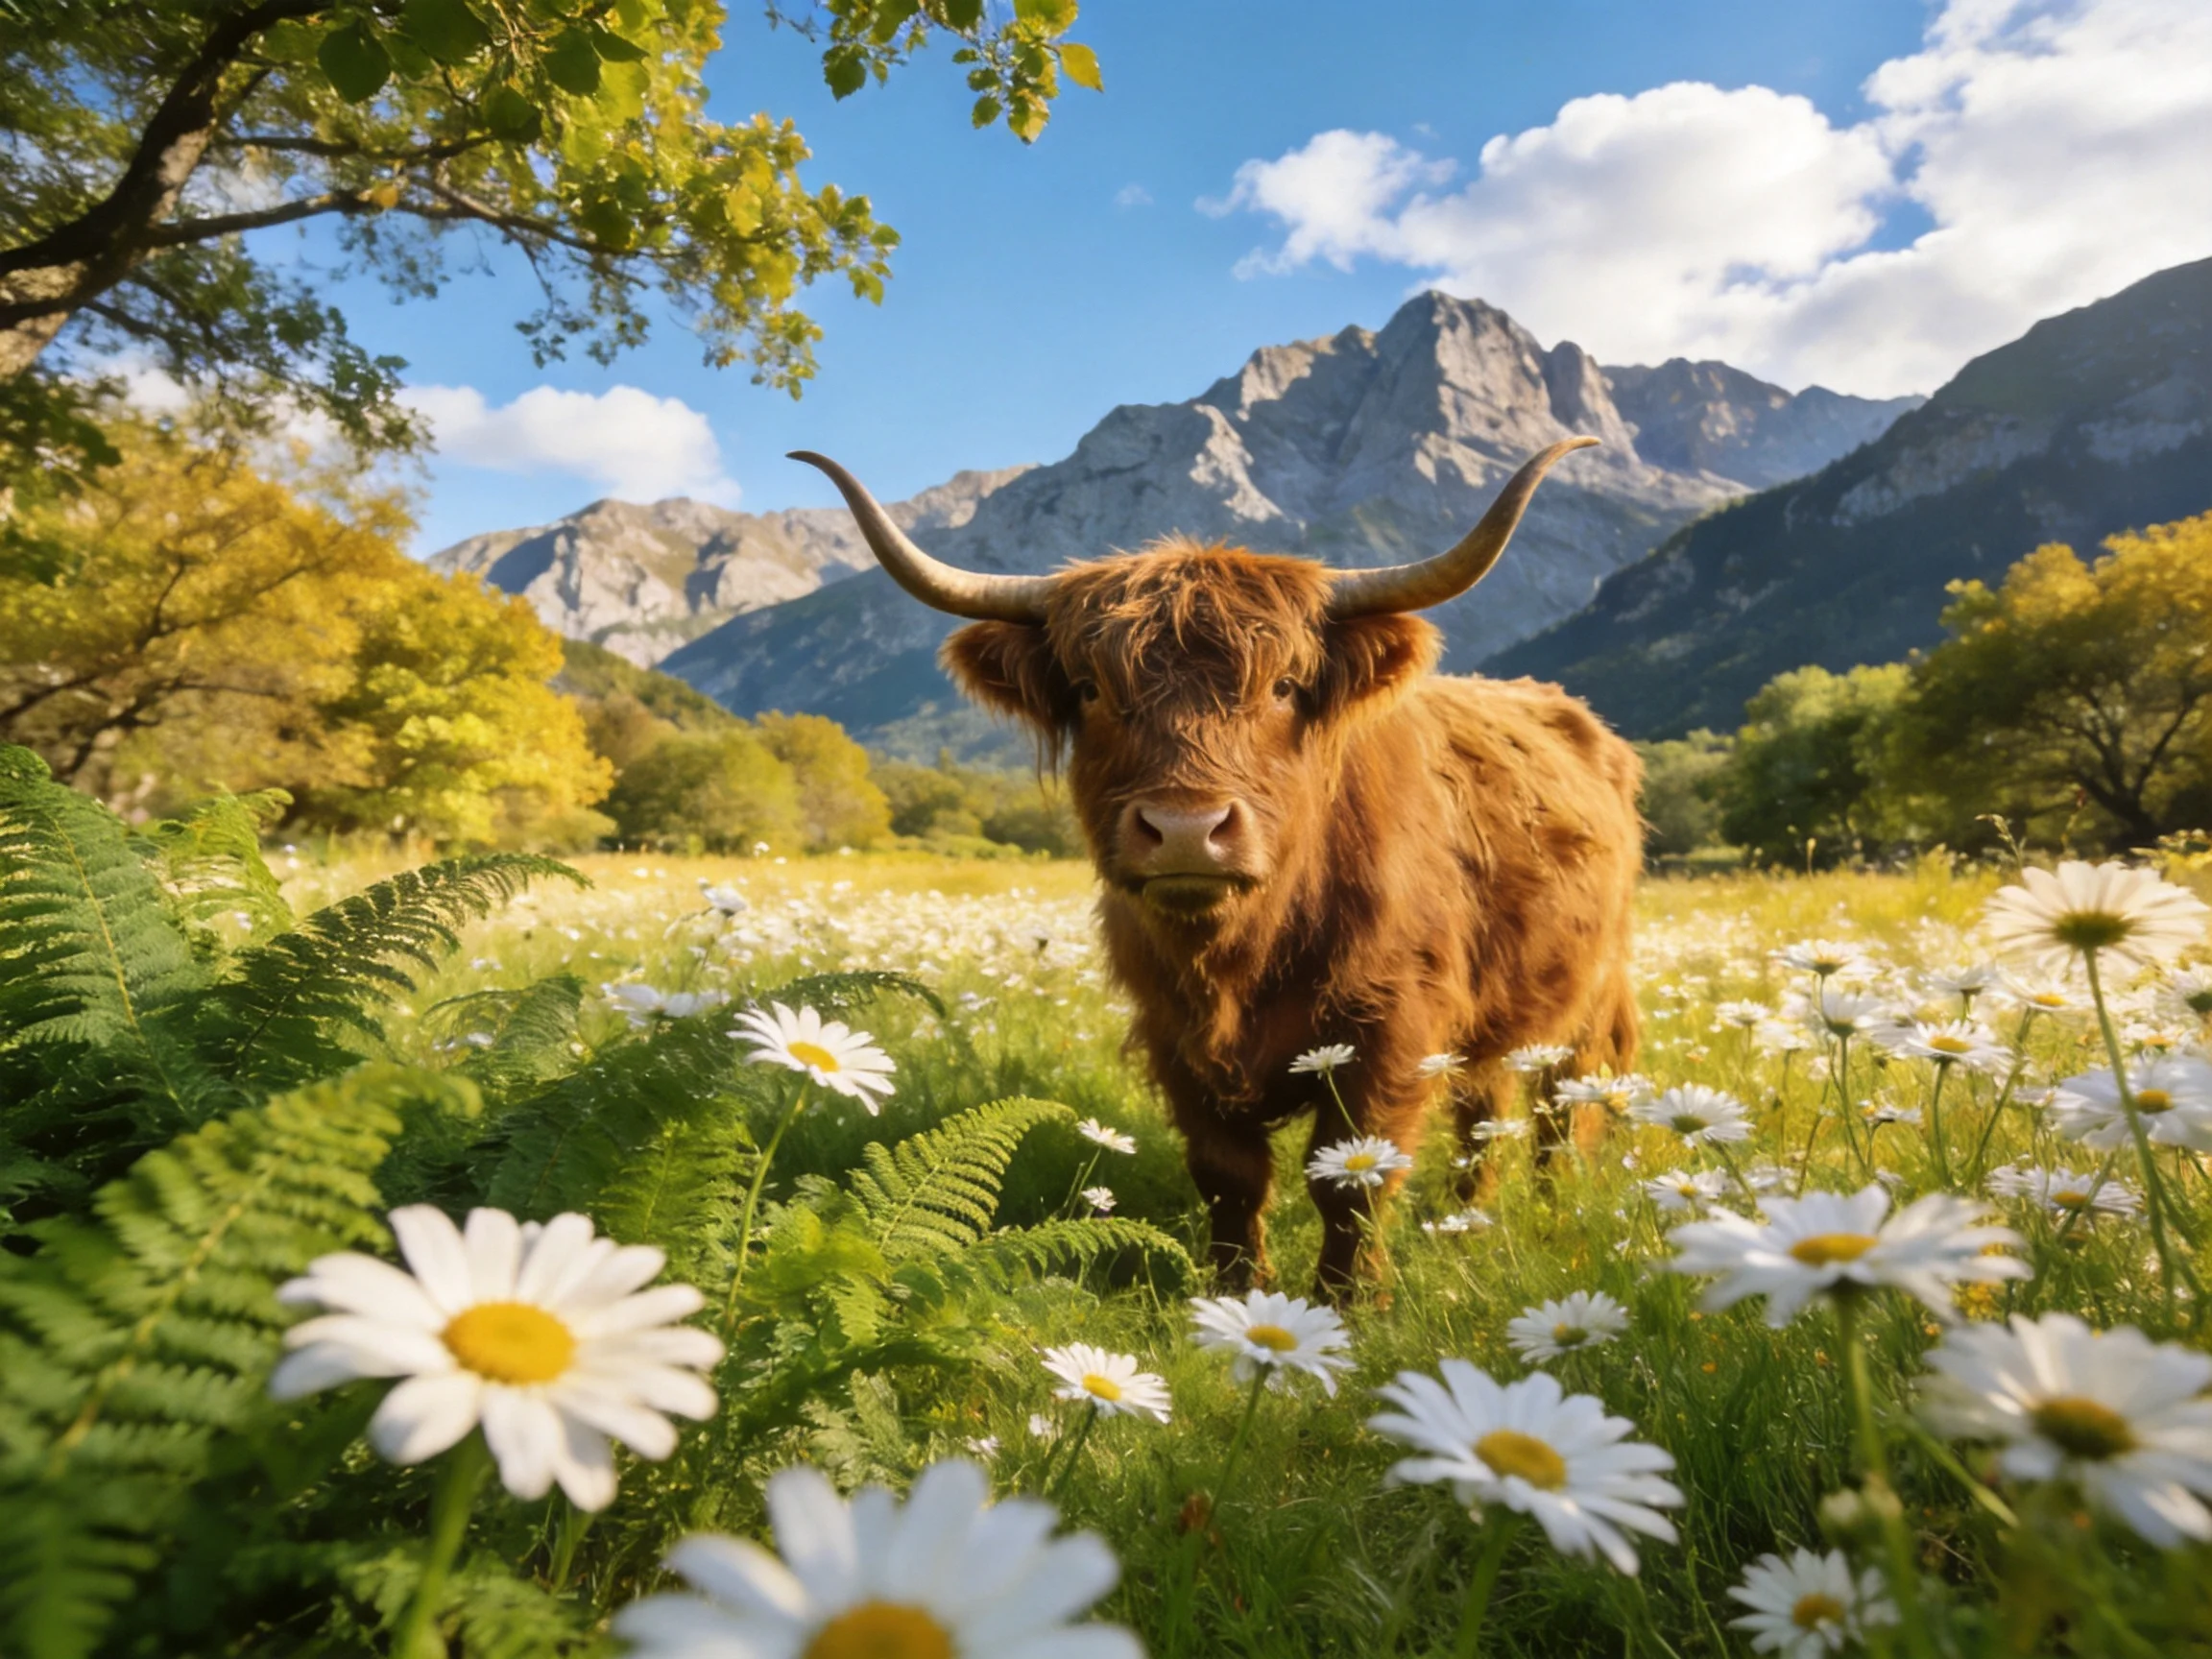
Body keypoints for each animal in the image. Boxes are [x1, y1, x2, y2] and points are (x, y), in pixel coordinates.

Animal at [794, 441, 1642, 1296]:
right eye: (1092, 690)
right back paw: (1470, 1221)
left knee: (1560, 1104)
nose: (1185, 830)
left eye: (1284, 685)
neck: (1242, 955)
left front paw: (1348, 1303)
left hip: (1589, 993)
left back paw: (1553, 1205)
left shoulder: (1395, 1024)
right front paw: (1239, 1294)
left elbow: (1352, 1176)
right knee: (1485, 1108)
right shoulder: (1174, 1032)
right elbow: (1228, 1174)